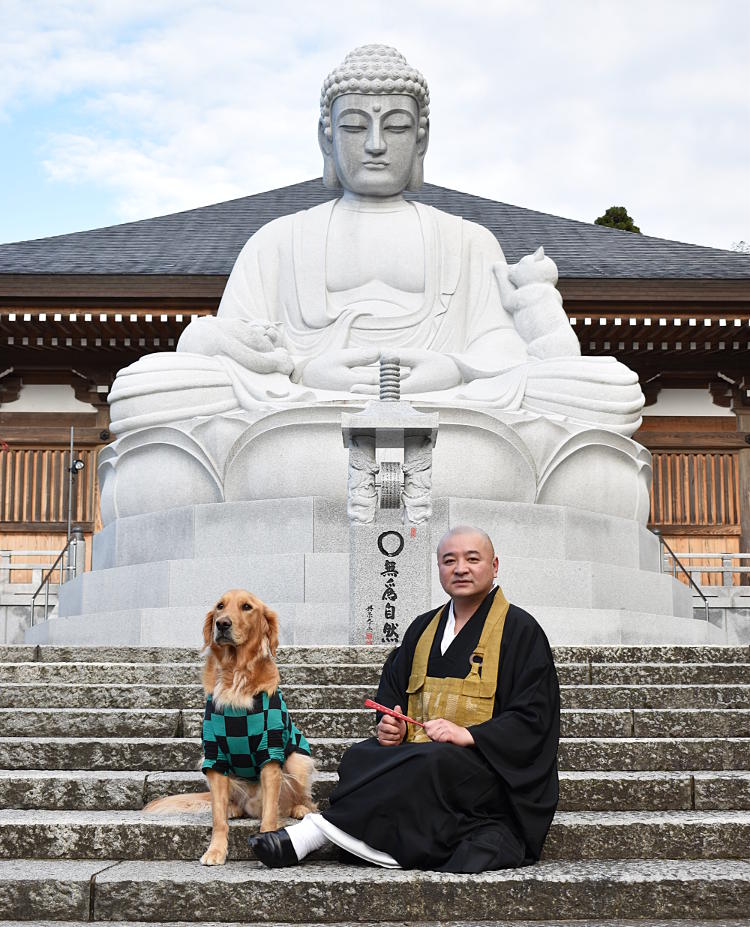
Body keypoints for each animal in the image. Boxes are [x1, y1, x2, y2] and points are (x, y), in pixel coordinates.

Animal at [145, 592, 318, 868]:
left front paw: (269, 841)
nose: (222, 624)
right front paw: (215, 850)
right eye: (220, 606)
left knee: (301, 798)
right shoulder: (214, 756)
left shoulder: (271, 751)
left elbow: (270, 813)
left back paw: (300, 808)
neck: (236, 673)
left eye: (247, 607)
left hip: (297, 759)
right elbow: (218, 819)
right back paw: (233, 808)